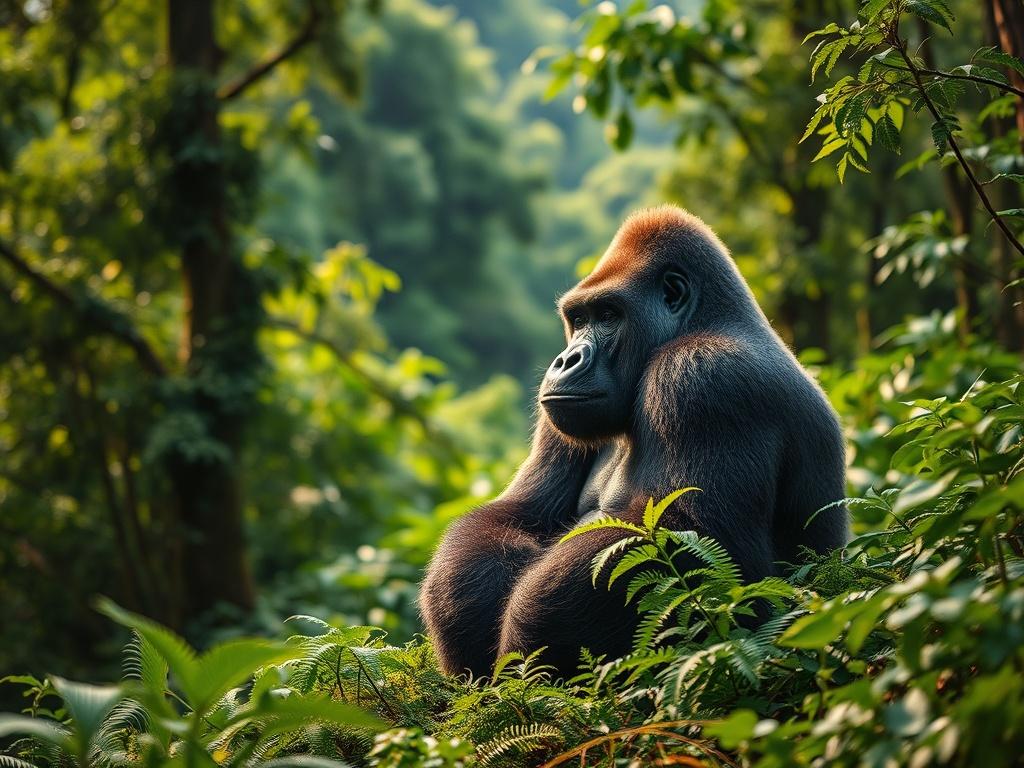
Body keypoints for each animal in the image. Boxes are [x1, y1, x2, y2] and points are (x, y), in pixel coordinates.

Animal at [420, 205, 850, 677]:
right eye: (579, 320)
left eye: (609, 315)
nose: (565, 360)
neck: (710, 318)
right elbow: (518, 514)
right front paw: (470, 598)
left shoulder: (703, 376)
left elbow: (703, 546)